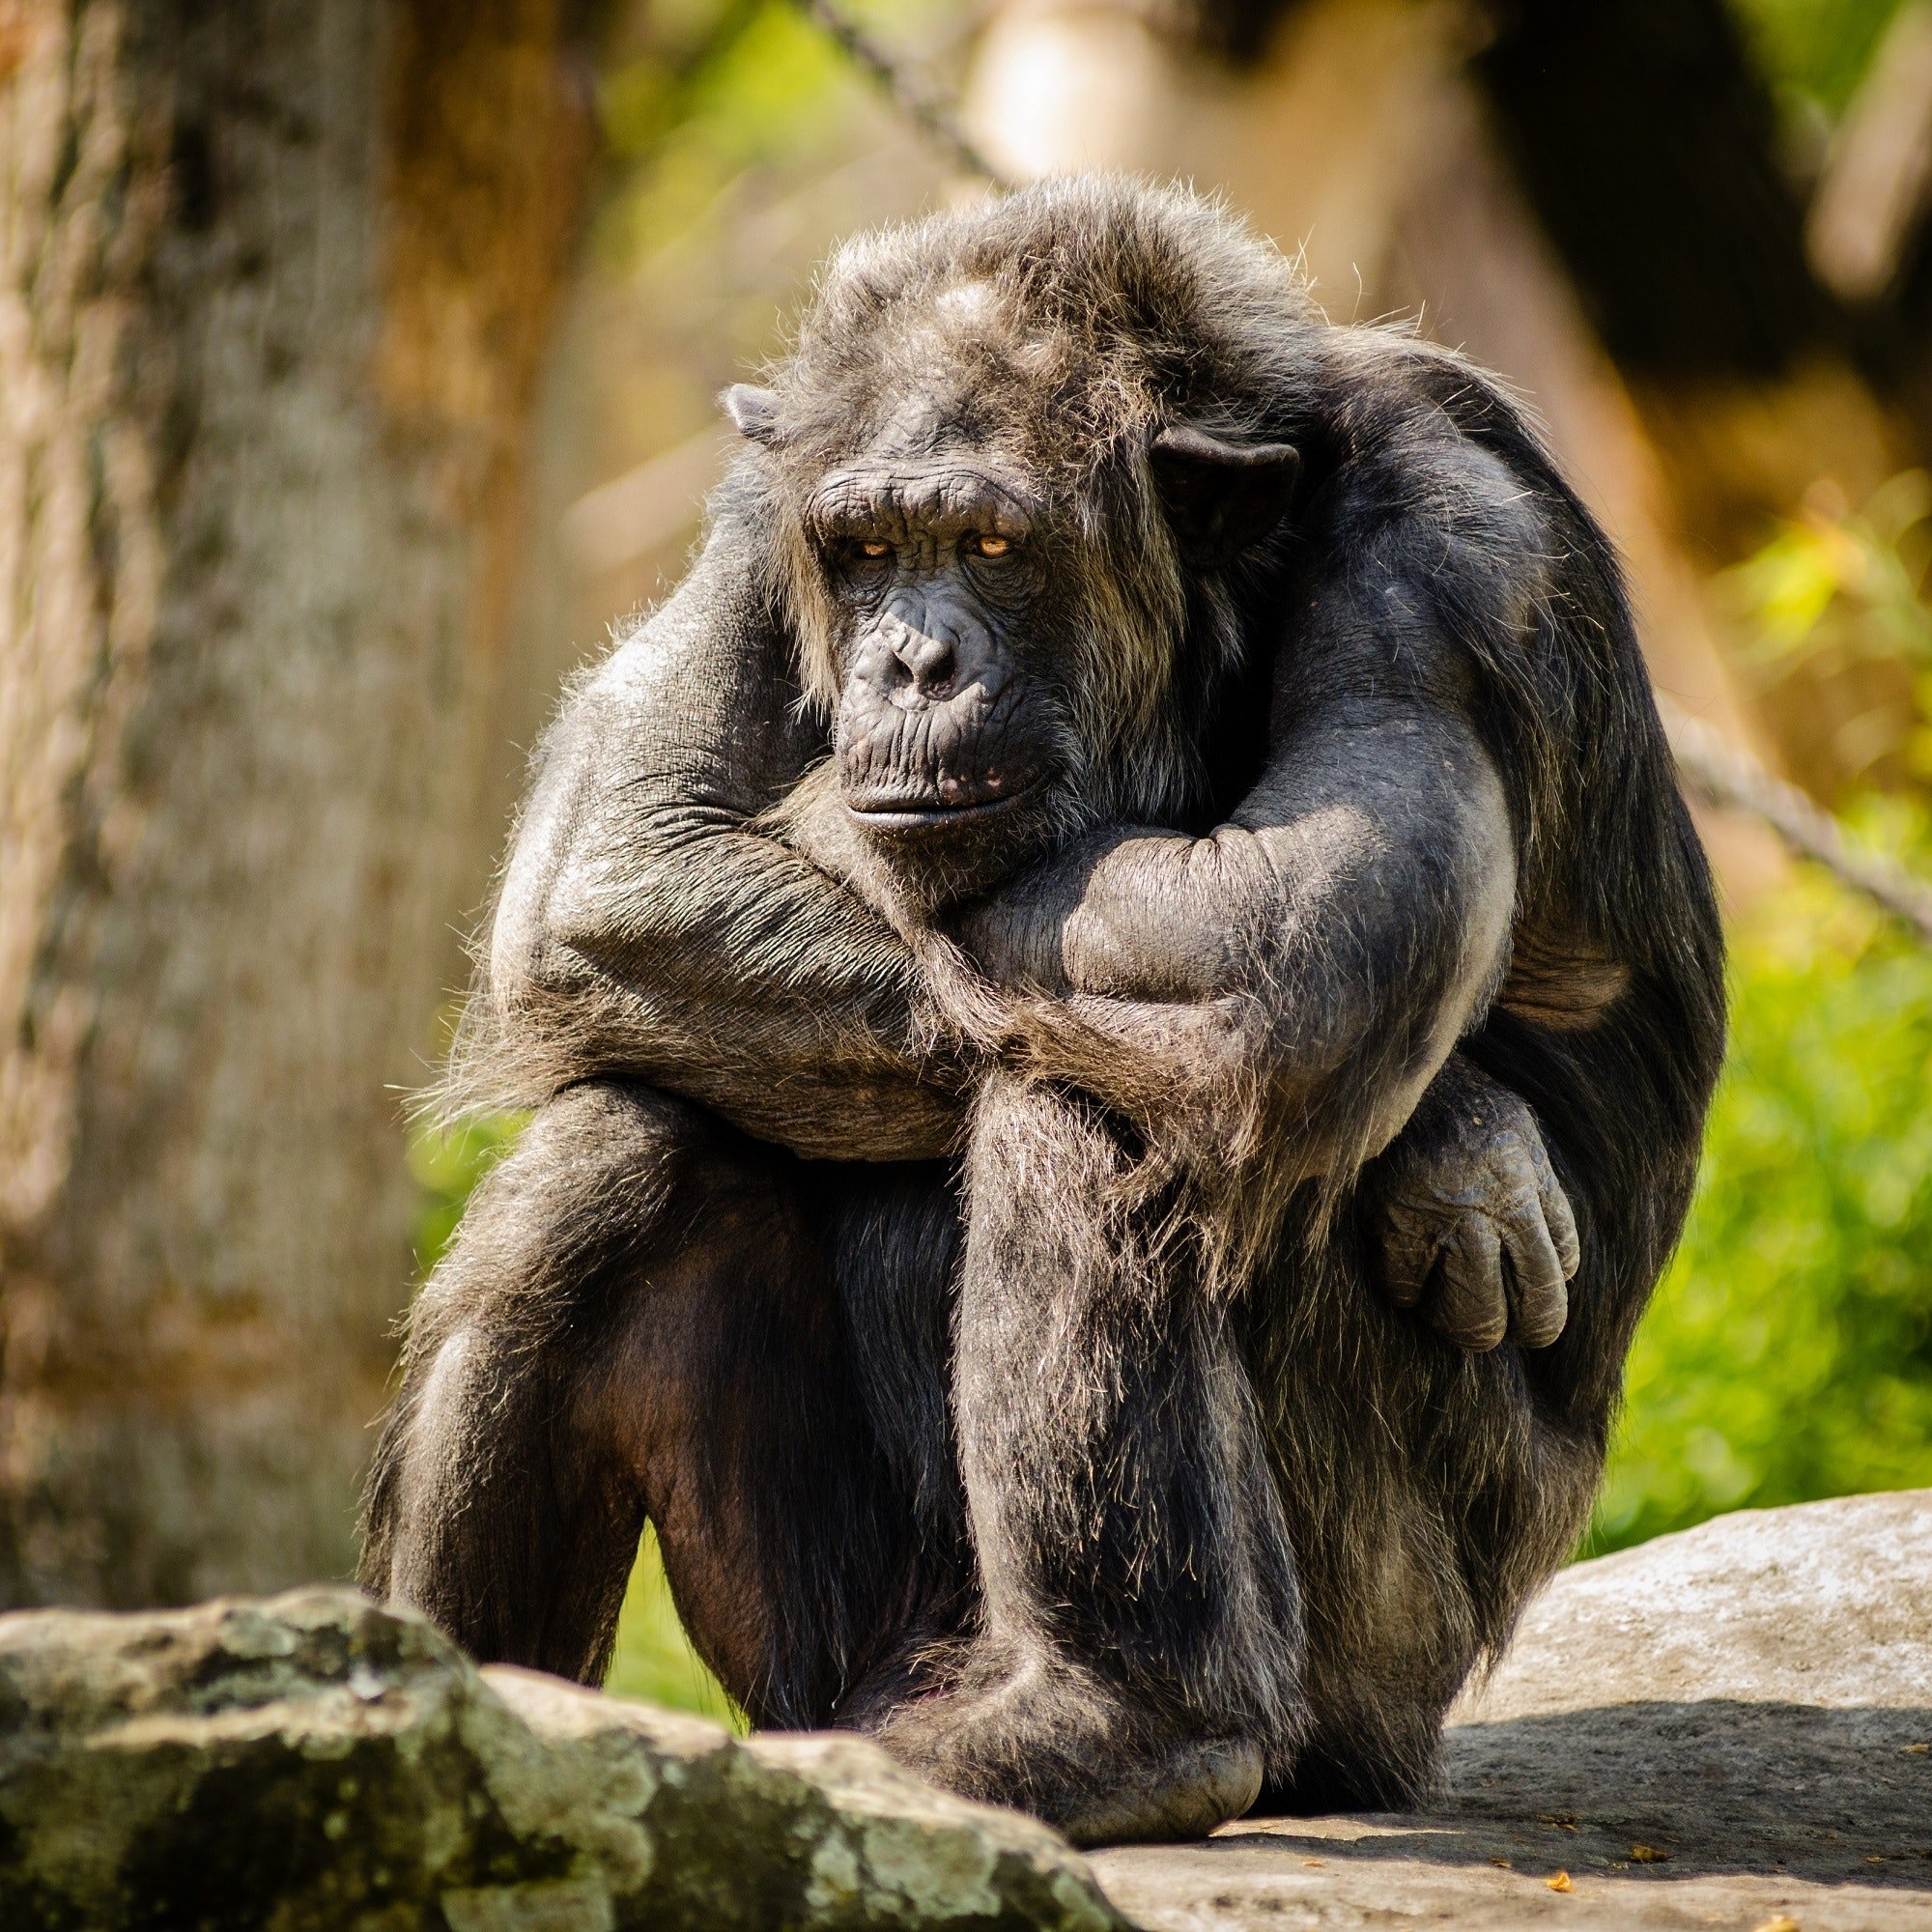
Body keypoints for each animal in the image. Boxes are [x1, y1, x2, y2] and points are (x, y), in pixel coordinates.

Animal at [361, 178, 1724, 1846]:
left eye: (996, 542)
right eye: (867, 548)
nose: (910, 657)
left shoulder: (1455, 545)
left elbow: (1301, 931)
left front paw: (1455, 1139)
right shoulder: (763, 502)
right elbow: (614, 856)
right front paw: (1461, 1142)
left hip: (1386, 1645)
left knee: (1114, 1094)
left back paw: (1125, 1722)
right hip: (828, 1654)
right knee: (609, 1157)